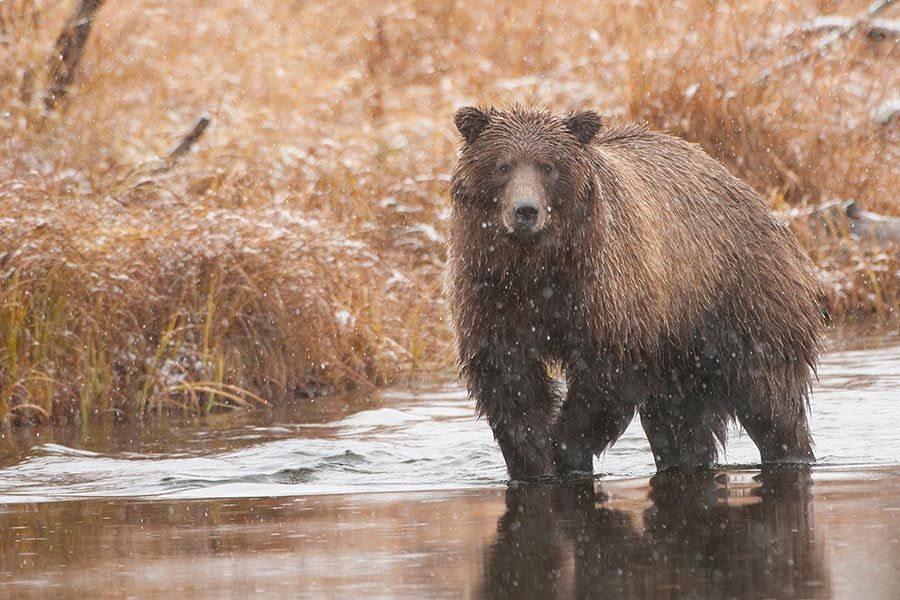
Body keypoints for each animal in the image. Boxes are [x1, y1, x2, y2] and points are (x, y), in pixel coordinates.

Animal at [445, 105, 825, 481]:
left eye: (548, 166)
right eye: (502, 165)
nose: (525, 210)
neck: (538, 269)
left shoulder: (607, 293)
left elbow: (605, 380)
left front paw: (567, 448)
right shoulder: (493, 295)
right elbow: (510, 380)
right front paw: (535, 462)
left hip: (743, 299)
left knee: (770, 398)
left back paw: (790, 453)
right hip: (682, 347)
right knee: (678, 418)